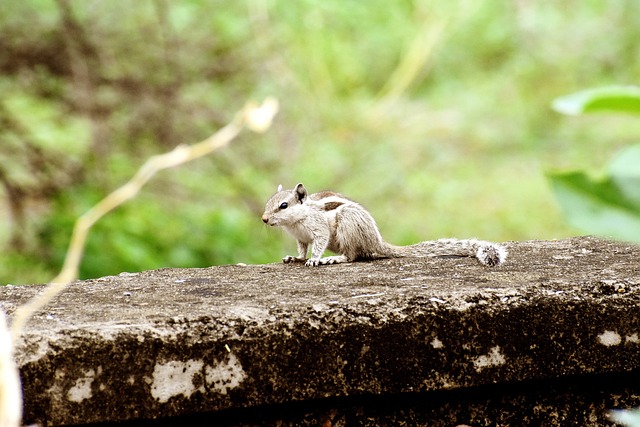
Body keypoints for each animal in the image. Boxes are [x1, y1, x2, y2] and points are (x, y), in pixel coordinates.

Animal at [262, 183, 508, 268]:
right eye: (269, 202)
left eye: (283, 205)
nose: (264, 219)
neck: (296, 221)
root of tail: (377, 241)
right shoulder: (301, 238)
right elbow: (302, 249)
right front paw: (296, 258)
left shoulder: (318, 229)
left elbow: (319, 244)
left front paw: (314, 259)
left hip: (348, 225)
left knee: (353, 255)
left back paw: (335, 259)